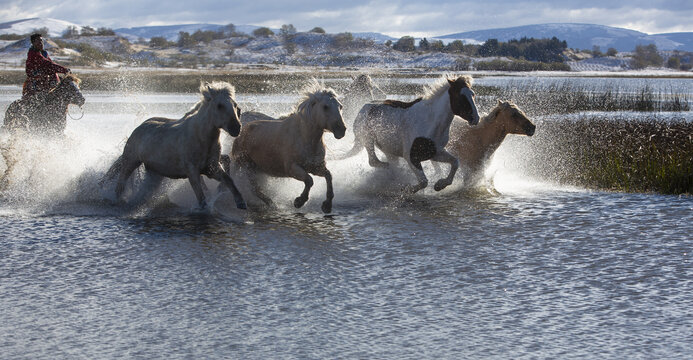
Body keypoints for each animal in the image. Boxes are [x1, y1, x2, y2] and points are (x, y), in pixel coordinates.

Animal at [230, 81, 346, 214]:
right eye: (325, 106)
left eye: (340, 106)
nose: (342, 130)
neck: (305, 139)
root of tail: (242, 130)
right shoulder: (292, 169)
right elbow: (309, 180)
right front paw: (299, 201)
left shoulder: (316, 167)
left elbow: (328, 176)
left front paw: (327, 205)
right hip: (247, 167)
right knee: (255, 189)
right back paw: (273, 205)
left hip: (258, 169)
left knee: (256, 189)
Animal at [338, 74, 478, 194]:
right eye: (461, 96)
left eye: (473, 94)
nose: (476, 118)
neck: (431, 121)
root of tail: (364, 107)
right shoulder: (411, 157)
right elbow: (423, 182)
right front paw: (406, 189)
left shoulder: (435, 152)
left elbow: (455, 162)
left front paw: (440, 185)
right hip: (367, 139)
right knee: (374, 161)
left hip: (388, 149)